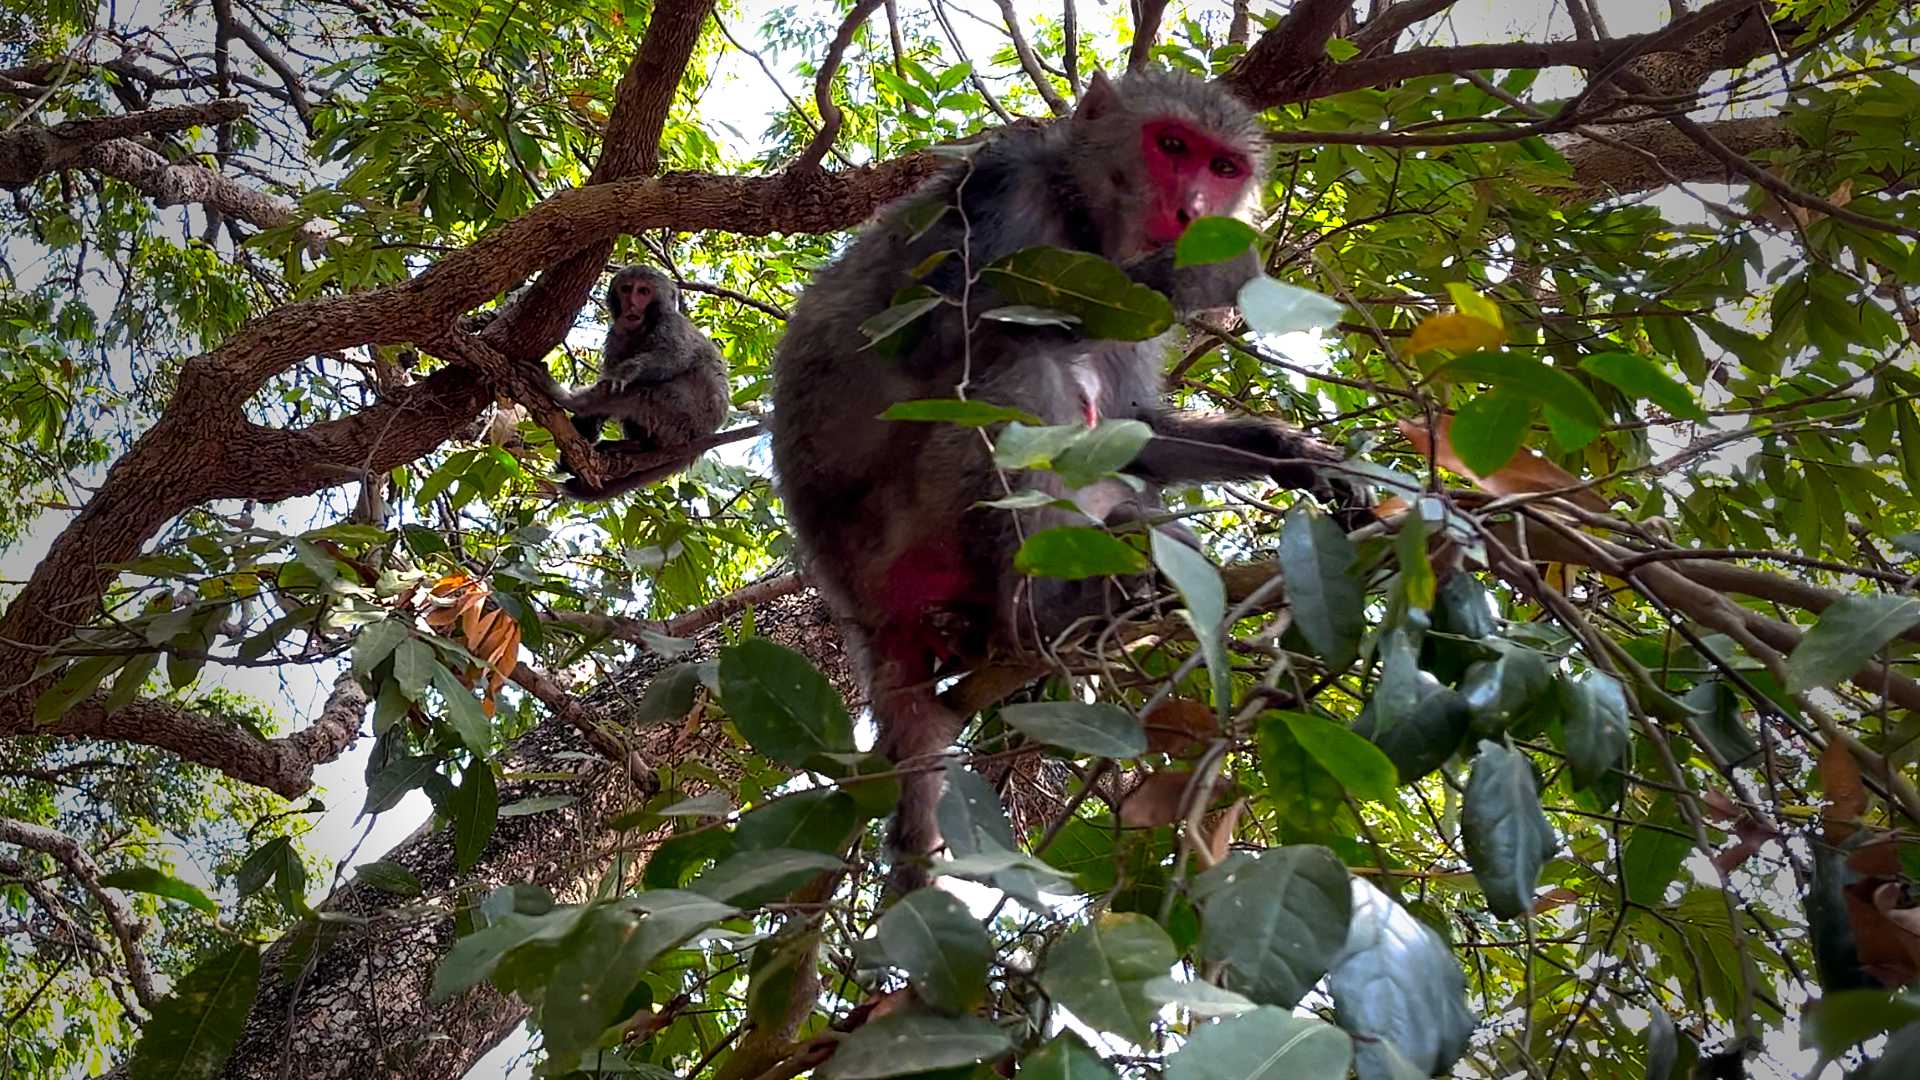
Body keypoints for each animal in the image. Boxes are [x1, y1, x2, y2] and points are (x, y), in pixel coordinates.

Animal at [559, 265, 731, 500]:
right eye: (626, 289)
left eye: (643, 291)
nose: (631, 305)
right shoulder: (617, 333)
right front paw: (587, 426)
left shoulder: (671, 324)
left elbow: (674, 357)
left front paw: (624, 374)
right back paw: (637, 446)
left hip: (684, 417)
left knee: (641, 394)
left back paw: (572, 401)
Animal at [768, 69, 1363, 892]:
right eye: (1171, 145)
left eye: (1223, 168)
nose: (1193, 212)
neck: (1081, 220)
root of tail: (856, 605)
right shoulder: (999, 188)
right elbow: (940, 341)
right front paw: (1209, 273)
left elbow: (1135, 428)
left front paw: (1301, 456)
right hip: (900, 537)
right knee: (1015, 372)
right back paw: (1038, 614)